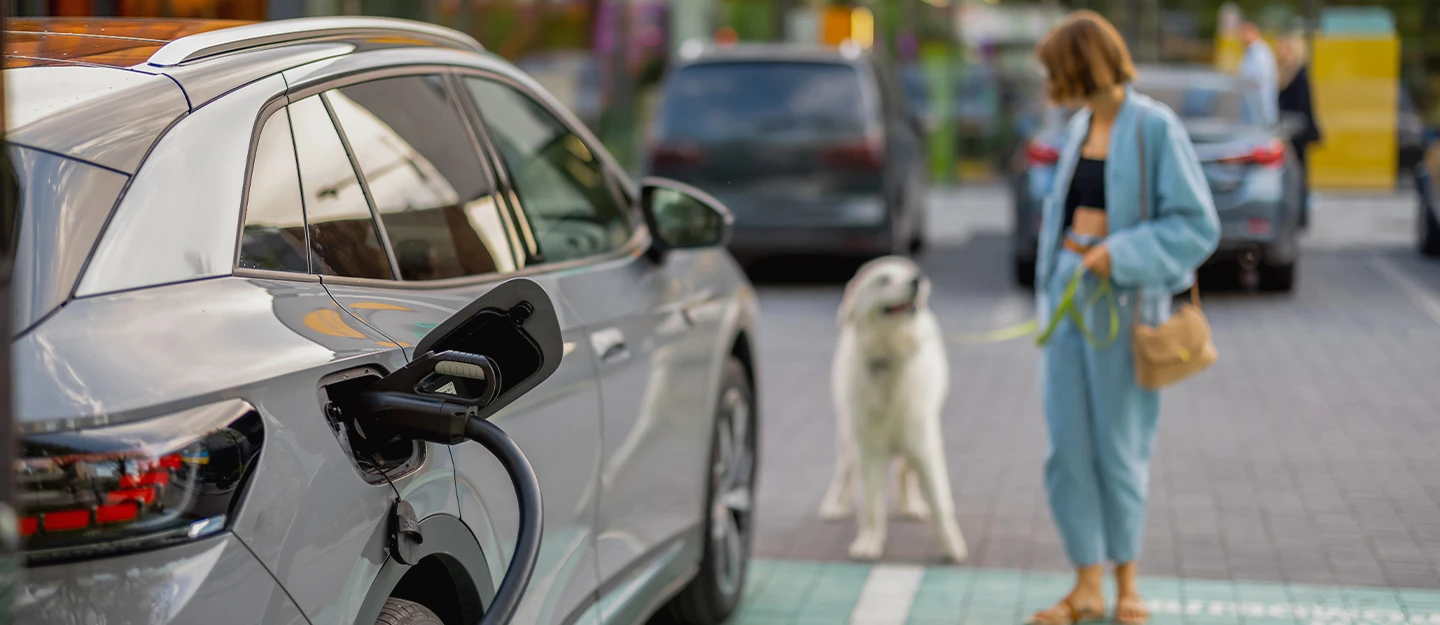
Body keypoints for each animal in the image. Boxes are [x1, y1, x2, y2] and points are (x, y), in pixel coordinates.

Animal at [823, 253, 967, 561]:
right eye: (884, 280)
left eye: (911, 274)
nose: (918, 280)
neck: (890, 358)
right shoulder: (868, 450)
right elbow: (871, 505)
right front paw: (869, 542)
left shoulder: (924, 445)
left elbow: (940, 502)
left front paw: (952, 545)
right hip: (848, 435)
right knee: (845, 470)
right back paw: (835, 504)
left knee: (905, 471)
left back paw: (911, 504)